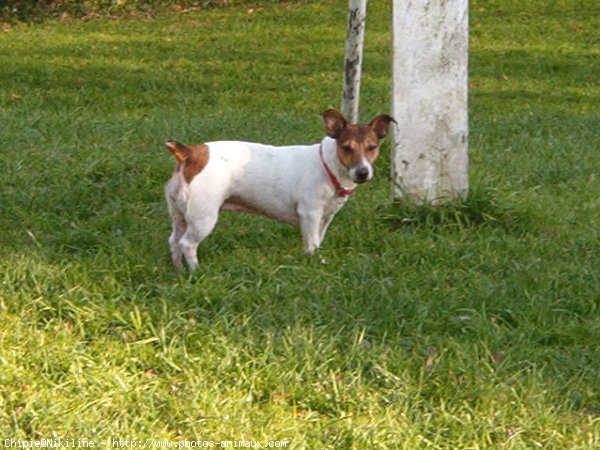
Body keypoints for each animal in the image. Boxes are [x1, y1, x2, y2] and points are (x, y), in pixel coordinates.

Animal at [166, 109, 396, 270]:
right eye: (347, 148)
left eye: (372, 147)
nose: (363, 172)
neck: (327, 166)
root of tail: (190, 154)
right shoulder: (310, 214)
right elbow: (312, 244)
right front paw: (314, 262)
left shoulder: (325, 218)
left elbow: (318, 240)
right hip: (203, 217)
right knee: (187, 244)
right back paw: (196, 270)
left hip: (179, 214)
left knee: (174, 241)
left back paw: (178, 270)